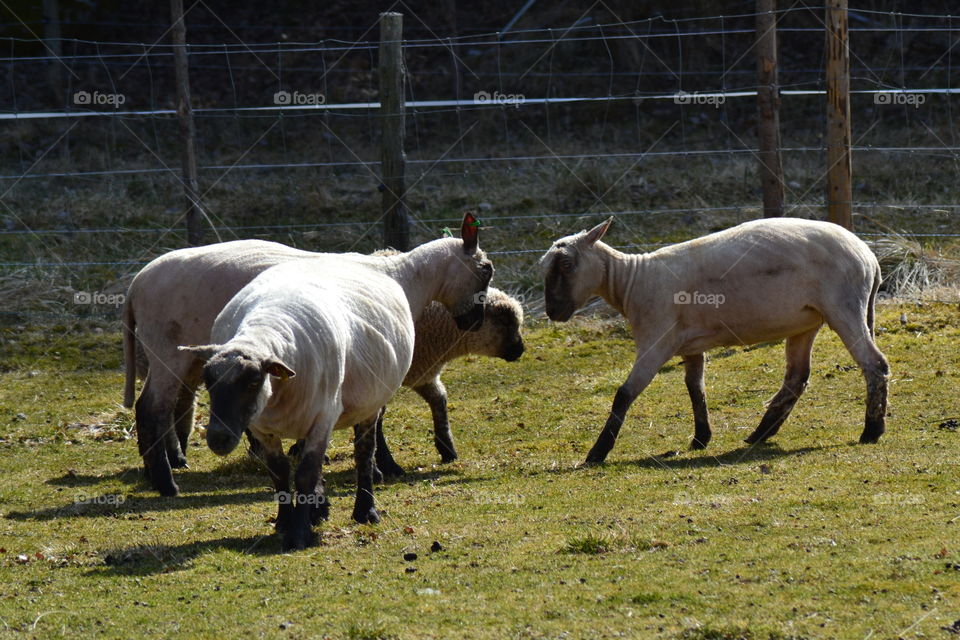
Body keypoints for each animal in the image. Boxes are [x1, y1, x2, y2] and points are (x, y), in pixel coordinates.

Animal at [123, 213, 490, 496]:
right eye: (486, 269)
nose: (476, 321)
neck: (406, 279)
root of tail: (136, 284)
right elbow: (377, 414)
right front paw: (384, 467)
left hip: (172, 354)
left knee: (153, 406)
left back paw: (161, 468)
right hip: (167, 349)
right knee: (153, 407)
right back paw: (166, 483)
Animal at [539, 216, 889, 464]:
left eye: (567, 264)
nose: (552, 311)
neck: (631, 281)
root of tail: (869, 257)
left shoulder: (656, 341)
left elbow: (624, 394)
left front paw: (596, 453)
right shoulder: (690, 347)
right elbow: (696, 390)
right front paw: (700, 438)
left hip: (843, 306)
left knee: (875, 365)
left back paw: (872, 431)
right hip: (806, 322)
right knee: (797, 377)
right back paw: (760, 434)